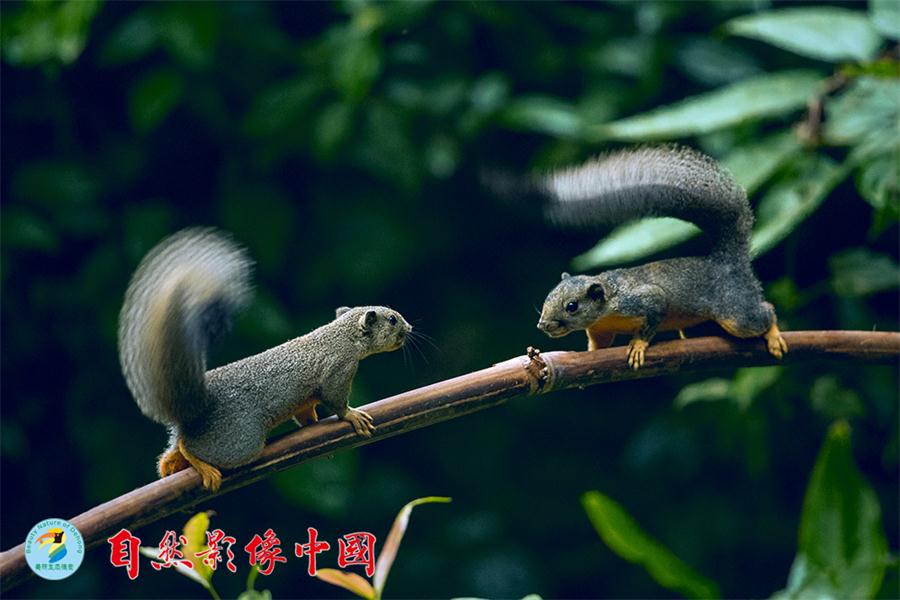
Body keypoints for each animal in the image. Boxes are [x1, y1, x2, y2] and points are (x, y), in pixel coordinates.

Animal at [118, 228, 411, 491]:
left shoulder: (307, 399)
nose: (409, 328)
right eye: (392, 319)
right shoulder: (339, 369)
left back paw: (171, 468)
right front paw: (351, 415)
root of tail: (196, 409)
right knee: (190, 447)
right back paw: (203, 467)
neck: (344, 336)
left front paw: (318, 435)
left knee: (171, 454)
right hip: (239, 441)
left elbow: (306, 414)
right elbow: (336, 399)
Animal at [534, 146, 788, 369]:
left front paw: (638, 345)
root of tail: (729, 262)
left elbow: (651, 320)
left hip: (735, 311)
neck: (606, 306)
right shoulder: (600, 329)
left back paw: (774, 336)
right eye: (547, 297)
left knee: (764, 312)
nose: (543, 325)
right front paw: (588, 355)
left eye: (572, 306)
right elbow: (600, 344)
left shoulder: (645, 300)